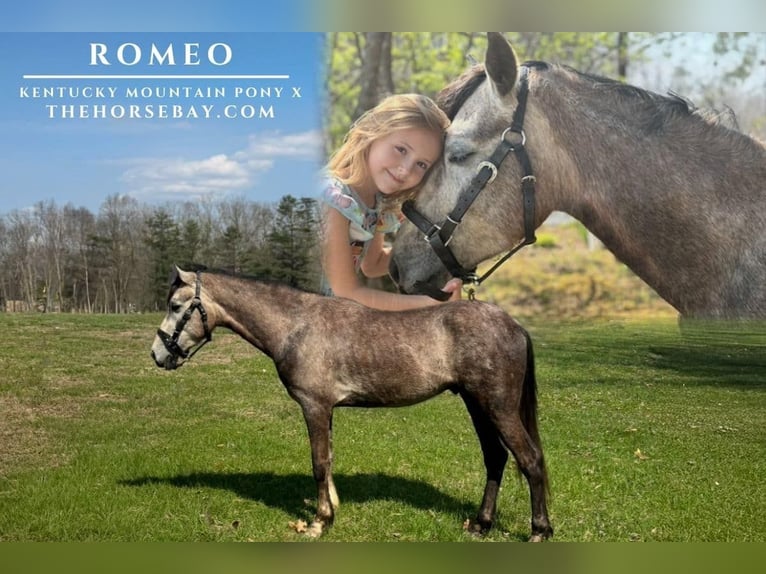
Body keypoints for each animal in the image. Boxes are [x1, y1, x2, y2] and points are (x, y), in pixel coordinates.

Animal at [150, 266, 552, 541]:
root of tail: (513, 324)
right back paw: (481, 525)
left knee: (530, 459)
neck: (297, 326)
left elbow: (318, 463)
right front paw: (332, 509)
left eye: (176, 306)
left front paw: (319, 522)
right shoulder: (326, 409)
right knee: (495, 459)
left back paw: (539, 530)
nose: (157, 354)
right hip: (476, 404)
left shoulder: (313, 406)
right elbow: (329, 460)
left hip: (497, 407)